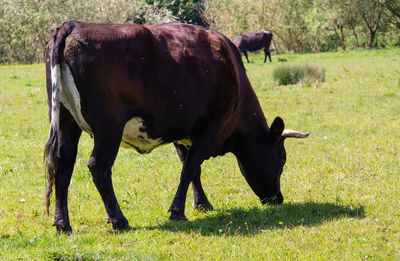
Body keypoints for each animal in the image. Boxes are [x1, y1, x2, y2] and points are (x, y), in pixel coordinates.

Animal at [44, 20, 310, 232]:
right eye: (282, 158)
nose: (278, 198)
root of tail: (74, 25)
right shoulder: (211, 128)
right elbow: (190, 168)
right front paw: (178, 212)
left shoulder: (183, 132)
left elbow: (191, 168)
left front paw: (201, 203)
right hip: (109, 127)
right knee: (98, 167)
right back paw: (119, 220)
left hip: (66, 120)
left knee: (62, 165)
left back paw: (62, 224)